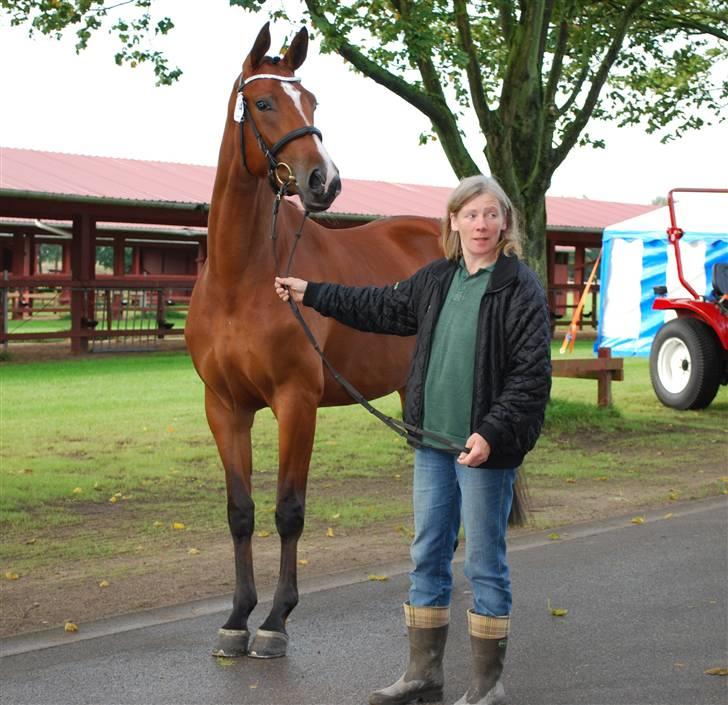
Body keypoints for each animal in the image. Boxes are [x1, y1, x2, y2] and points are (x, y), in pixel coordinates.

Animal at [188, 22, 450, 656]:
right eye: (263, 102)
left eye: (311, 102)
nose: (323, 181)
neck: (242, 276)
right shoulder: (224, 408)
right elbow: (240, 511)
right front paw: (237, 617)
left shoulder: (296, 403)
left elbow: (289, 511)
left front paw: (276, 621)